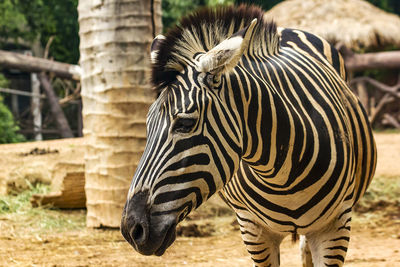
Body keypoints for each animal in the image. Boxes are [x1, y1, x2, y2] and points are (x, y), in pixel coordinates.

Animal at [120, 4, 376, 267]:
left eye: (185, 123)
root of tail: (287, 30)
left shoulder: (335, 227)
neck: (283, 175)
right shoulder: (253, 229)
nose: (132, 230)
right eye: (148, 125)